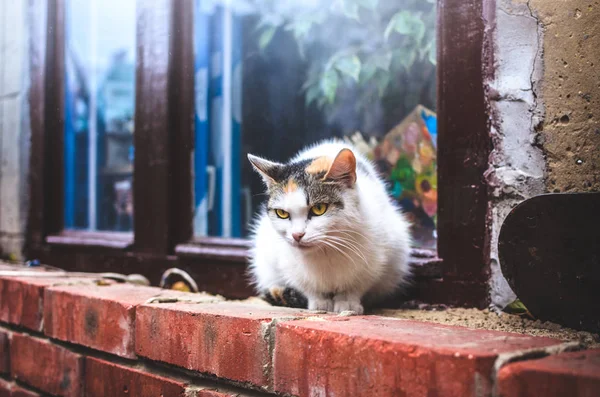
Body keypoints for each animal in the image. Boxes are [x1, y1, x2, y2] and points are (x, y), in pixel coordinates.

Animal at [246, 139, 410, 312]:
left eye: (319, 209)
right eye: (282, 213)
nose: (297, 235)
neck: (326, 251)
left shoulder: (374, 262)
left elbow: (355, 286)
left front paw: (347, 303)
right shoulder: (288, 263)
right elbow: (308, 287)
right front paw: (319, 303)